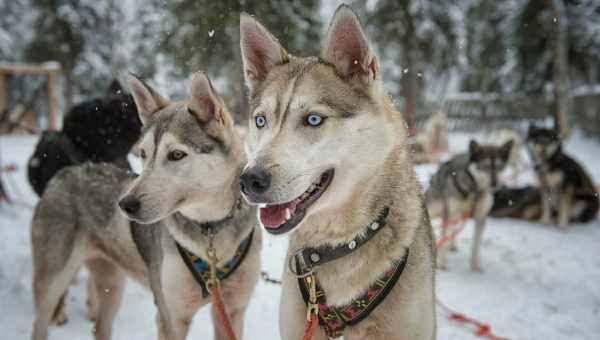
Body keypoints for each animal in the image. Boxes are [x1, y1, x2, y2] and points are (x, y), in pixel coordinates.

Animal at [29, 71, 260, 340]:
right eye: (143, 154)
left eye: (176, 154)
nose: (125, 204)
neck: (210, 230)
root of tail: (65, 172)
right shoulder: (170, 317)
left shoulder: (232, 312)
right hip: (52, 284)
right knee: (41, 322)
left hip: (111, 287)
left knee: (100, 327)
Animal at [424, 139, 512, 270]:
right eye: (484, 167)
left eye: (499, 167)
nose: (494, 183)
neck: (474, 189)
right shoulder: (449, 212)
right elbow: (445, 236)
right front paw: (442, 263)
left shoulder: (481, 217)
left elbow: (476, 244)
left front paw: (475, 265)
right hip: (437, 208)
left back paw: (452, 245)